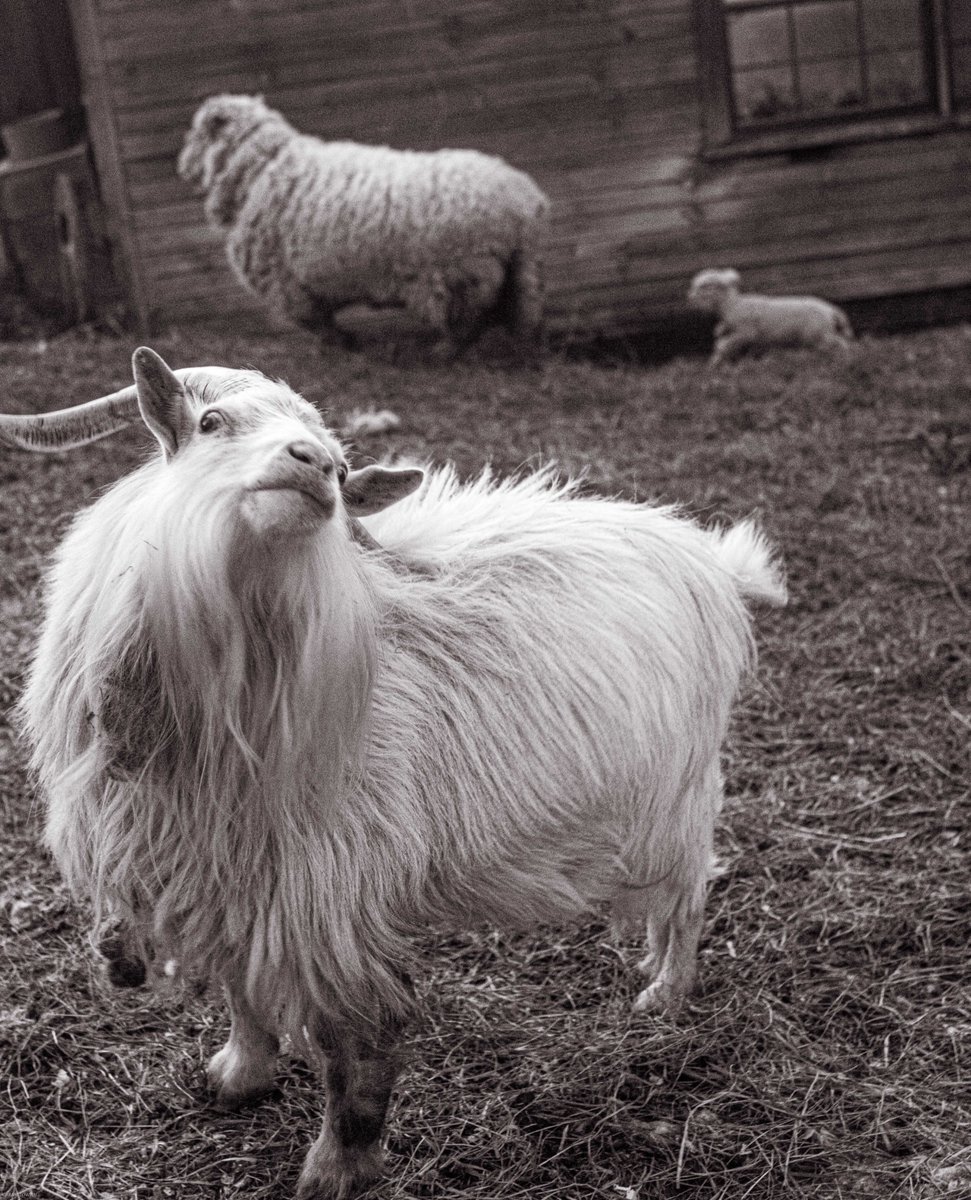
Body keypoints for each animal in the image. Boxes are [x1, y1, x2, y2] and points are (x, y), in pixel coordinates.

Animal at [2, 347, 786, 1199]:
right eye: (211, 421)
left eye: (344, 470)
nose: (312, 465)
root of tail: (709, 557)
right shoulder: (231, 875)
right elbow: (243, 985)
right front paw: (239, 1073)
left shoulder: (329, 889)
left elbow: (355, 1043)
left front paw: (337, 1169)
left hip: (676, 793)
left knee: (687, 895)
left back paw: (663, 994)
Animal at [177, 94, 550, 357]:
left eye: (196, 134)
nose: (182, 167)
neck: (263, 167)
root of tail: (525, 202)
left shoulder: (289, 282)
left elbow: (317, 322)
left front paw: (340, 344)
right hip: (515, 271)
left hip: (462, 273)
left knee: (469, 322)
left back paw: (443, 352)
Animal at [688, 267, 853, 366]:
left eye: (706, 286)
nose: (689, 297)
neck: (732, 305)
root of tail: (831, 310)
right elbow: (723, 344)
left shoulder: (746, 332)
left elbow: (724, 345)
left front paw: (714, 362)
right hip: (819, 335)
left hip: (818, 334)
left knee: (841, 344)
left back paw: (846, 359)